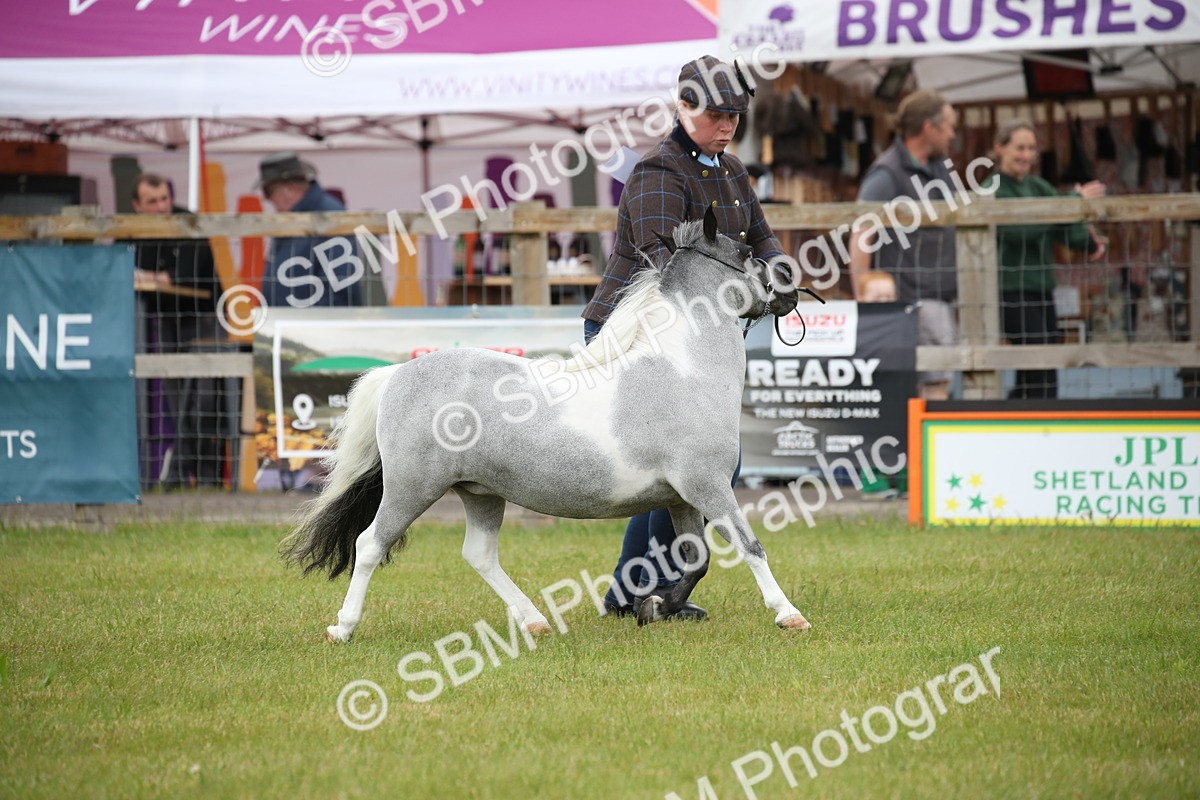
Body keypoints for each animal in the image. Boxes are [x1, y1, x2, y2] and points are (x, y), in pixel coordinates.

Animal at [282, 206, 813, 640]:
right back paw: (343, 628)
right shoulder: (708, 486)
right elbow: (750, 546)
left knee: (479, 555)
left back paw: (535, 621)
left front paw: (654, 608)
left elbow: (694, 561)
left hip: (480, 492)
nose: (791, 289)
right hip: (413, 487)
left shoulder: (681, 497)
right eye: (747, 251)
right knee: (371, 544)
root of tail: (396, 376)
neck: (685, 370)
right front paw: (789, 614)